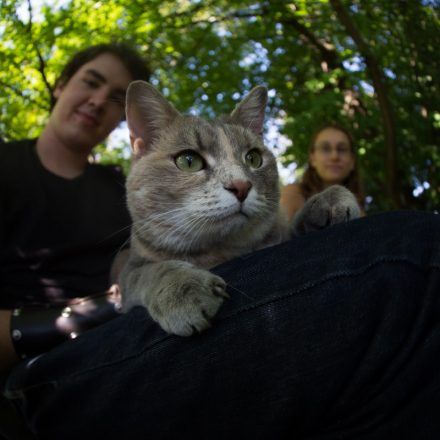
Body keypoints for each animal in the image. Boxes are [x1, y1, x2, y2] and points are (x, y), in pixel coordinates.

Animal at [120, 81, 360, 336]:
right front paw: (183, 288)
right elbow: (149, 272)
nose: (241, 186)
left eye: (253, 158)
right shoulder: (129, 277)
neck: (222, 250)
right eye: (188, 161)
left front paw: (328, 200)